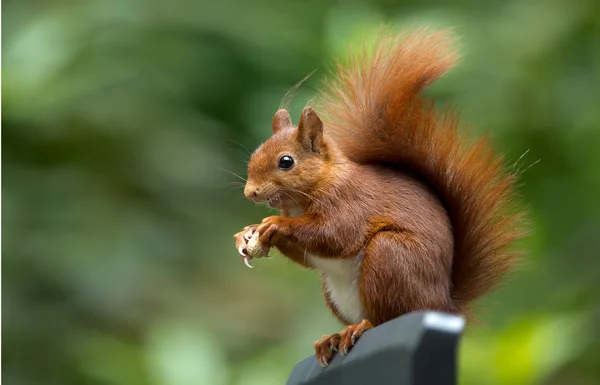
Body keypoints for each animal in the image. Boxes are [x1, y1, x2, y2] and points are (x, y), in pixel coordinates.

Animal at [232, 27, 524, 366]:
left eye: (286, 162)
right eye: (255, 154)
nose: (250, 191)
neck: (302, 199)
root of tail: (442, 306)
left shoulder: (351, 203)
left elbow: (335, 235)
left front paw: (274, 225)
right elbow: (309, 256)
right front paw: (247, 234)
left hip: (390, 257)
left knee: (384, 317)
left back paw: (360, 328)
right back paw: (332, 338)